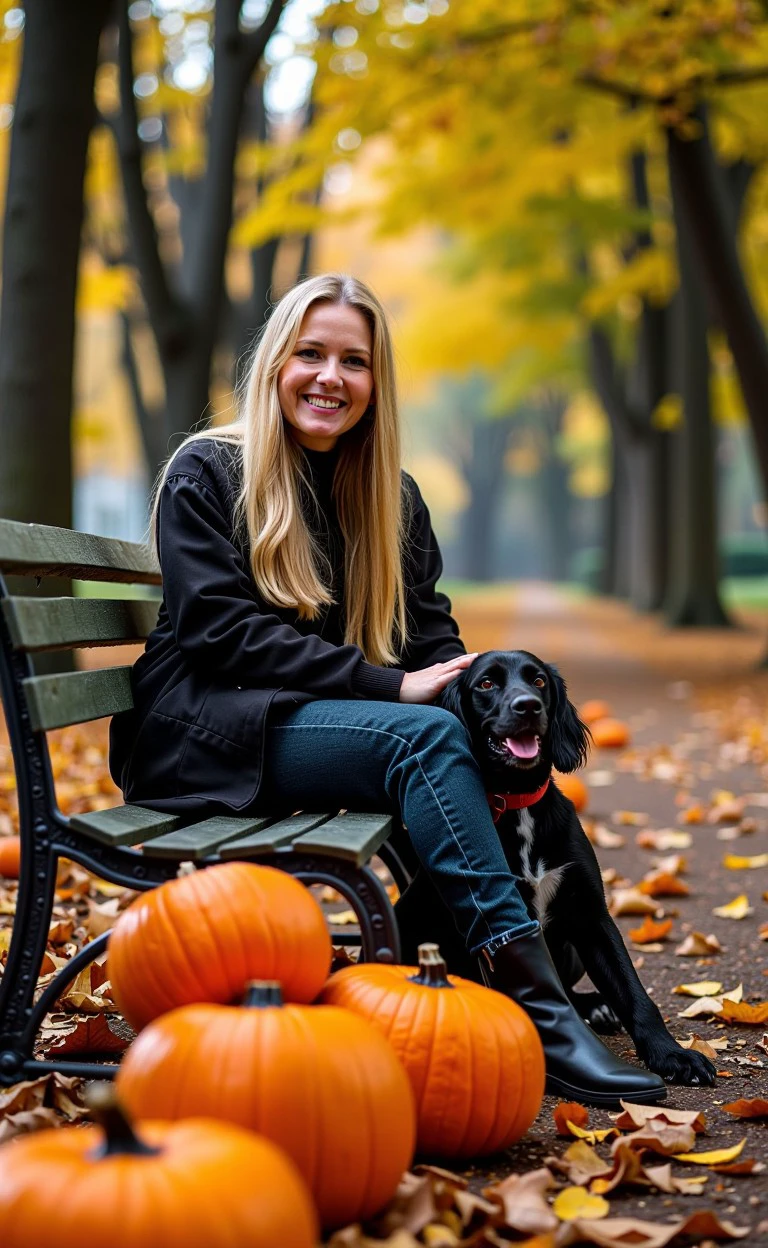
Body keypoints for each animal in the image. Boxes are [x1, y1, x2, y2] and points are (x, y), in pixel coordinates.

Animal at [397, 648, 719, 1088]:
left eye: (538, 681)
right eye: (486, 683)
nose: (528, 706)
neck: (518, 806)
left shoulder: (592, 916)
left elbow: (636, 994)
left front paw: (673, 1055)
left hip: (570, 949)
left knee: (569, 991)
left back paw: (597, 1007)